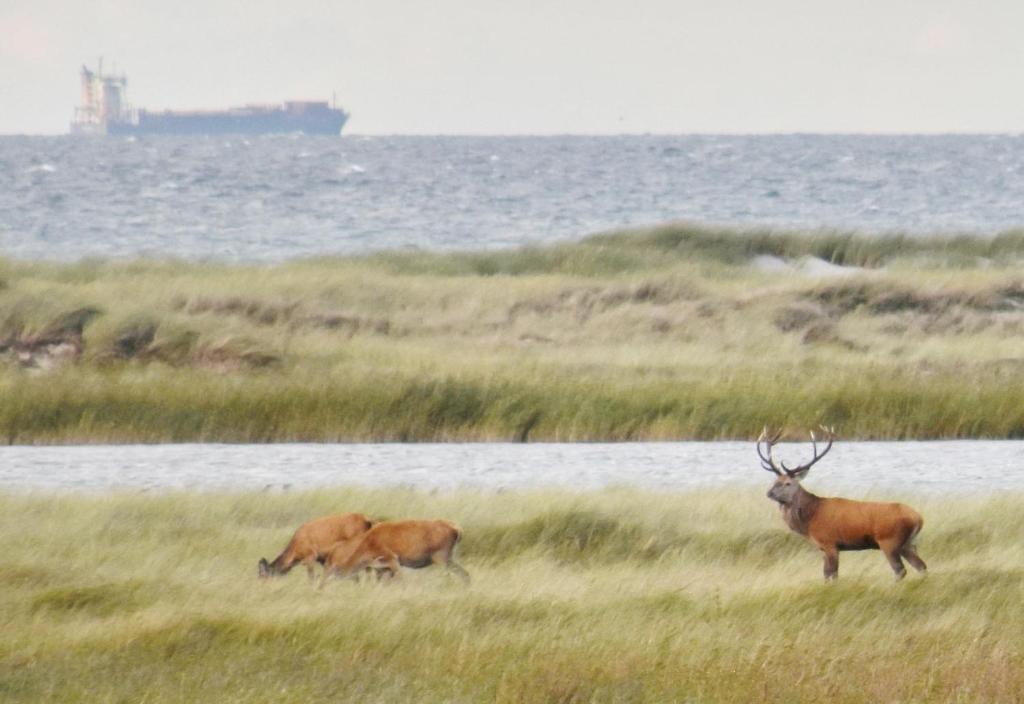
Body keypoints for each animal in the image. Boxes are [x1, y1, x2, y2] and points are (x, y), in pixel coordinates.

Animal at [319, 519, 470, 588]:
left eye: (336, 574)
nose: (321, 587)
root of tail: (458, 529)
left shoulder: (392, 558)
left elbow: (400, 580)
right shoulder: (382, 568)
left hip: (441, 557)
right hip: (450, 557)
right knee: (465, 573)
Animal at [757, 427, 927, 582]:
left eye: (788, 483)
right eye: (774, 481)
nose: (769, 493)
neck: (810, 520)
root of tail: (918, 518)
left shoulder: (830, 543)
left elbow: (832, 575)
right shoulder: (823, 548)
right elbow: (826, 576)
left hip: (889, 541)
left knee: (900, 570)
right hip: (908, 543)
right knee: (921, 566)